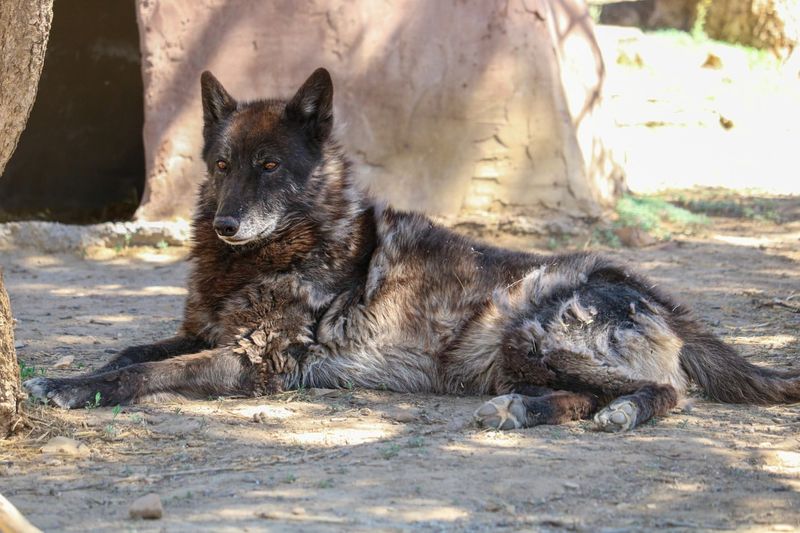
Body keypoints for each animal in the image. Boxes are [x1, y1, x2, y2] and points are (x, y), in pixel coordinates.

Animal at [25, 68, 800, 430]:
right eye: (221, 165)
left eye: (269, 166)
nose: (226, 224)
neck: (281, 249)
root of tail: (644, 290)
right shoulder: (203, 331)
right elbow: (131, 350)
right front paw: (66, 375)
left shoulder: (252, 362)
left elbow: (143, 373)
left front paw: (73, 388)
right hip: (509, 357)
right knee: (586, 394)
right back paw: (528, 412)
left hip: (529, 329)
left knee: (669, 389)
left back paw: (618, 411)